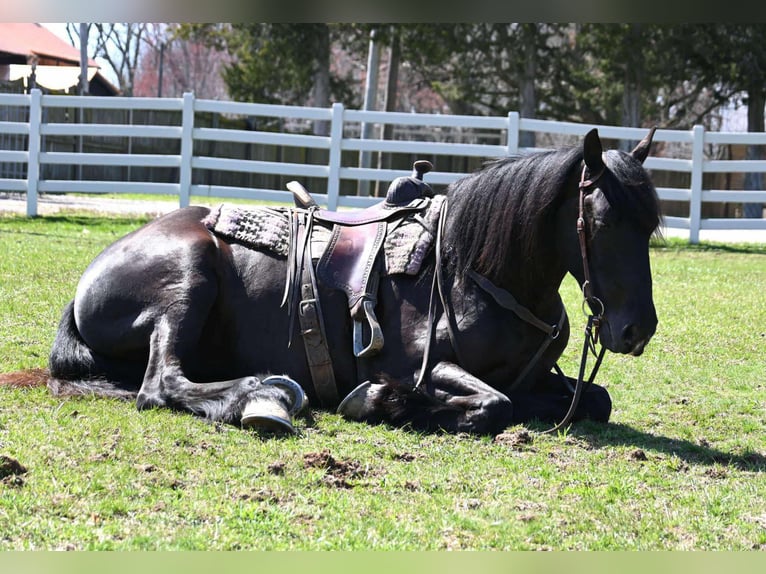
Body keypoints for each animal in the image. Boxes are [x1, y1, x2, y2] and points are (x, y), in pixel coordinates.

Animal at [2, 128, 661, 436]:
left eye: (652, 223)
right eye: (604, 221)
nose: (638, 330)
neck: (476, 273)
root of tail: (88, 280)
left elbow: (593, 400)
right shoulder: (417, 362)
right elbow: (491, 405)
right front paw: (386, 402)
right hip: (188, 281)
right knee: (159, 384)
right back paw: (262, 395)